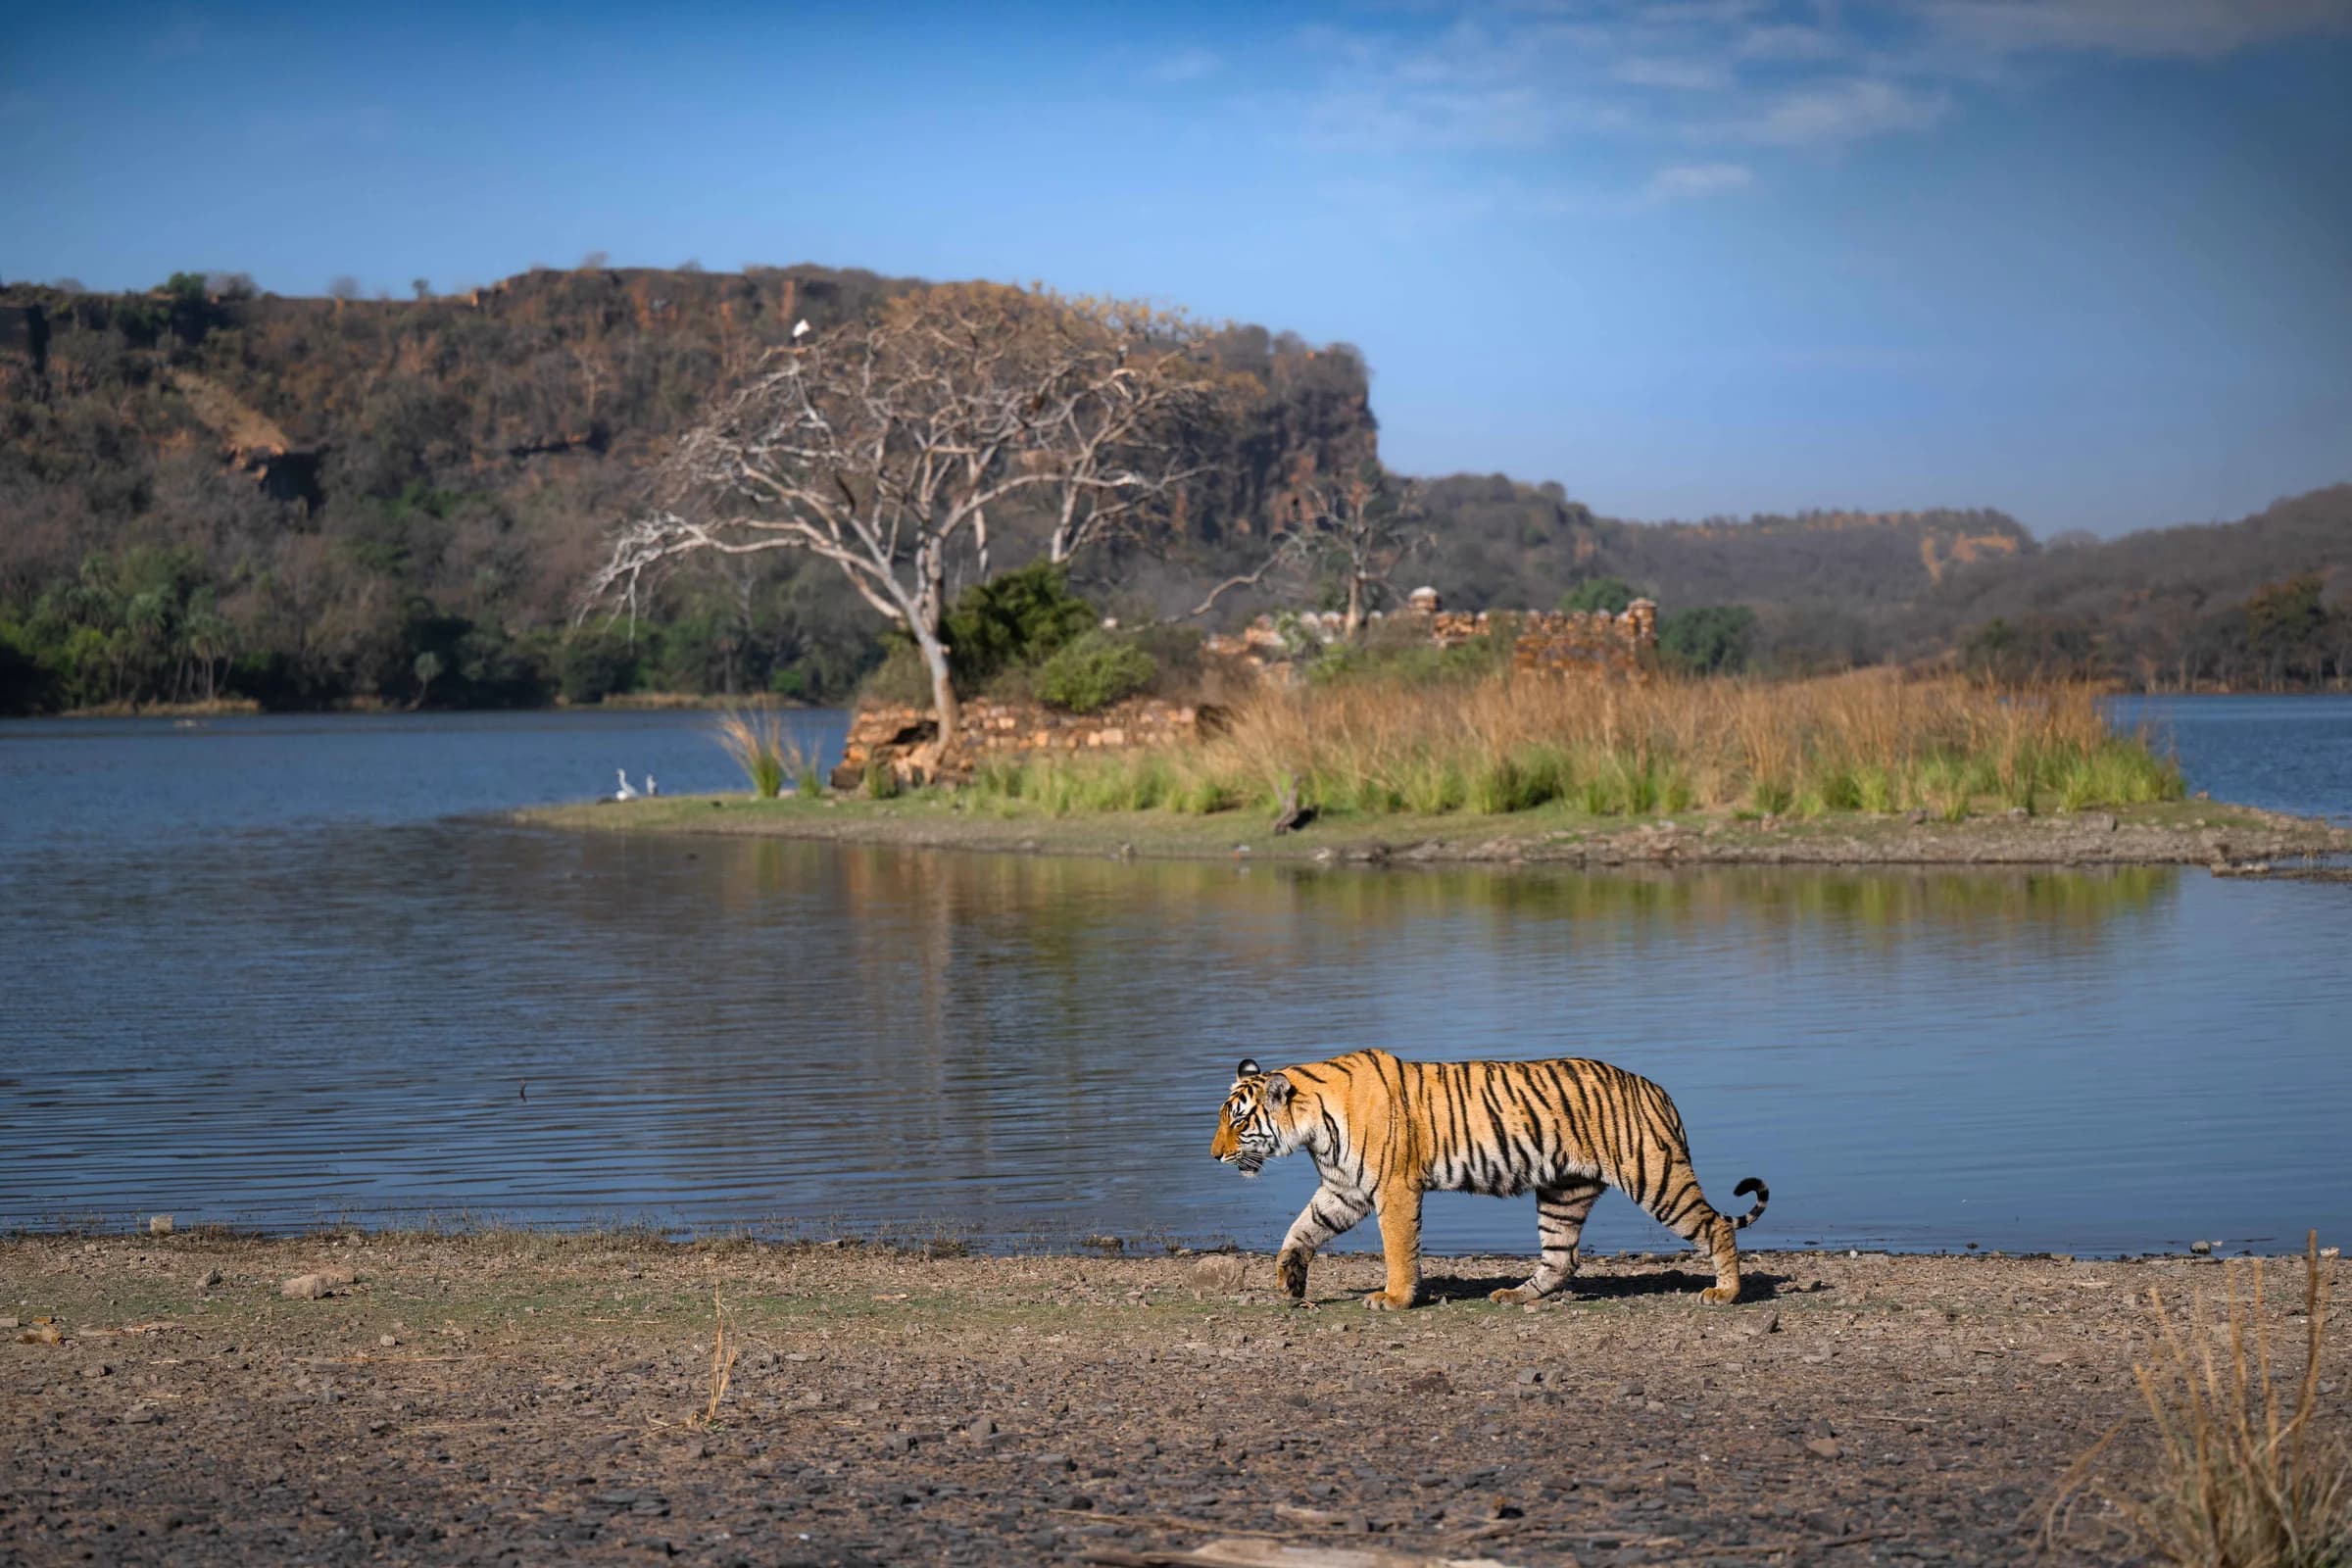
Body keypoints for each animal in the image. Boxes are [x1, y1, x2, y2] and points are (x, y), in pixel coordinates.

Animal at [1209, 1048, 1768, 1310]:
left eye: (1238, 1121)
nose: (1213, 1156)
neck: (1312, 1126)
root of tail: (1656, 1089)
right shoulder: (1343, 1189)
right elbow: (1301, 1229)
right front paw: (1289, 1279)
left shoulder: (1393, 1188)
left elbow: (1397, 1249)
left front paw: (1394, 1298)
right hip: (1563, 1192)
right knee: (1561, 1259)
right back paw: (1515, 1296)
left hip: (1655, 1177)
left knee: (1716, 1225)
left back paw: (1726, 1293)